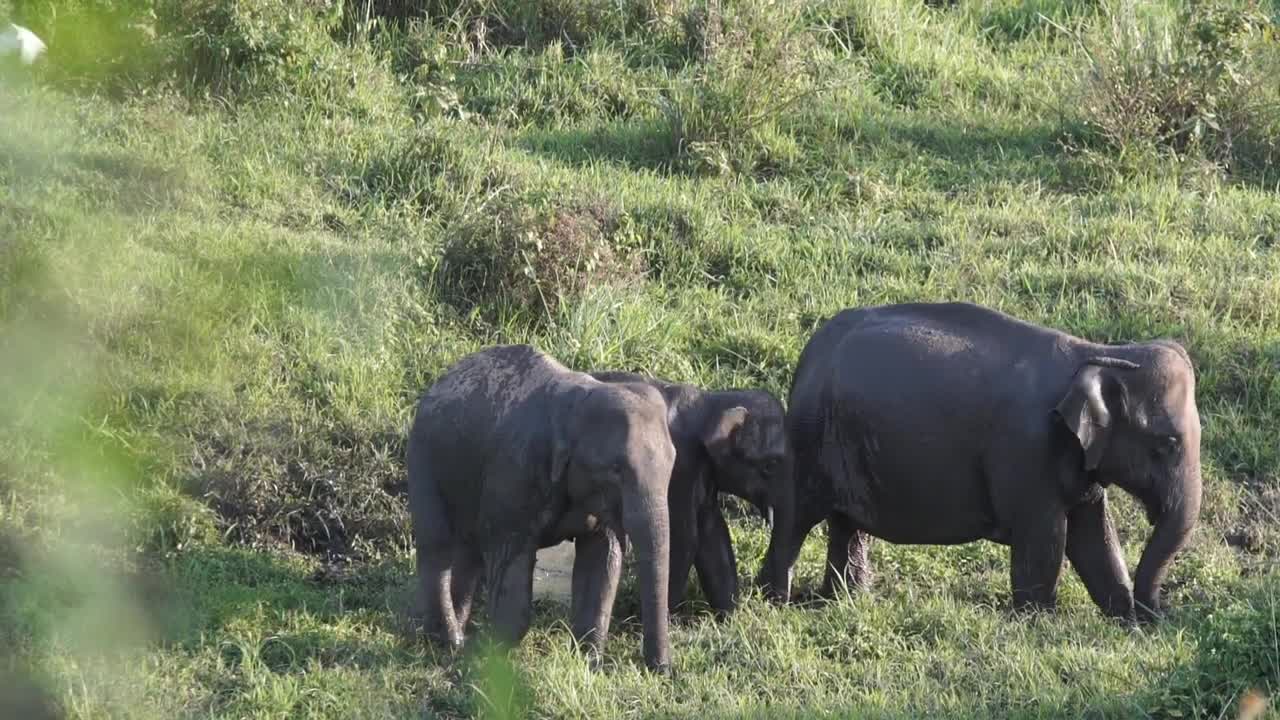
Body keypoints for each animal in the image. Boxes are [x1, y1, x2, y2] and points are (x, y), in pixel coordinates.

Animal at [407, 340, 680, 666]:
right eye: (616, 469)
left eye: (673, 463)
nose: (662, 669)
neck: (578, 398)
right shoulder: (515, 473)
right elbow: (511, 555)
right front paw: (492, 656)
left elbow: (601, 557)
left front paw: (589, 661)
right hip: (422, 459)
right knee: (437, 546)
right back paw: (446, 641)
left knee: (468, 550)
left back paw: (455, 636)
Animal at [588, 368, 788, 617]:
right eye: (770, 466)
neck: (708, 405)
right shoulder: (680, 465)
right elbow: (682, 536)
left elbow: (712, 531)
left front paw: (731, 616)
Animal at [752, 299, 1203, 620]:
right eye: (1166, 444)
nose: (1158, 615)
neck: (1099, 352)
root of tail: (809, 353)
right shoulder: (1027, 449)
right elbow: (1048, 536)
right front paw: (1039, 623)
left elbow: (1093, 534)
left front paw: (1122, 619)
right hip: (810, 437)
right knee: (797, 517)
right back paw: (772, 600)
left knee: (846, 523)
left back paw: (846, 600)